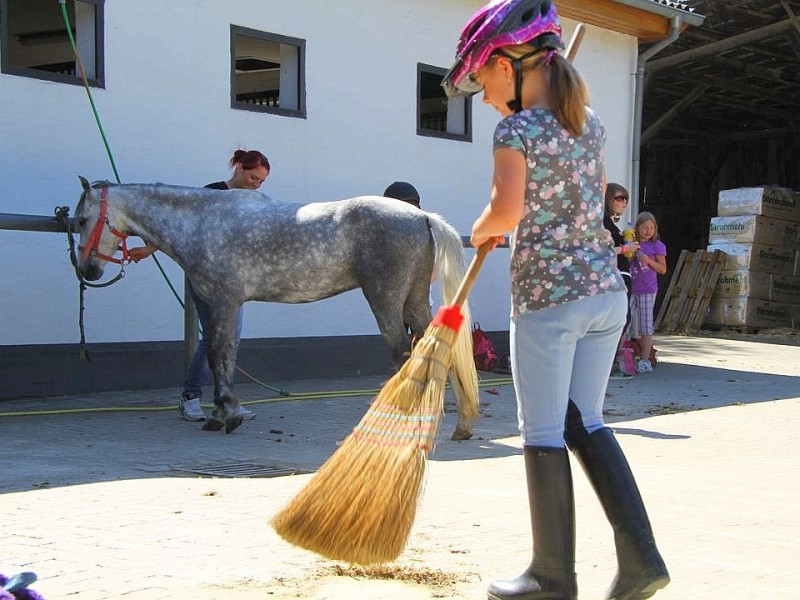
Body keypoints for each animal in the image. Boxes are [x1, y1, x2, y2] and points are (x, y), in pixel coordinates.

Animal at [73, 176, 476, 434]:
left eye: (82, 219)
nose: (88, 270)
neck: (203, 223)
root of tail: (423, 217)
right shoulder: (227, 306)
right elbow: (225, 355)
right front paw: (223, 412)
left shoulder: (223, 301)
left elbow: (217, 354)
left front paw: (226, 415)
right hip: (413, 301)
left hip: (385, 300)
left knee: (402, 353)